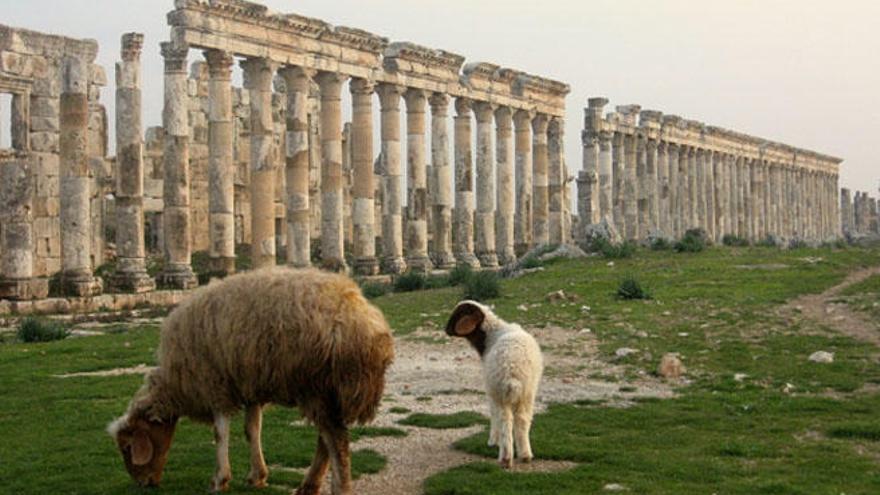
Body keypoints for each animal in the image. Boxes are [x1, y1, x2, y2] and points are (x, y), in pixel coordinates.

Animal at [109, 270, 396, 495]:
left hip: (318, 387)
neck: (176, 384)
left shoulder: (215, 384)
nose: (143, 484)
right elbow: (252, 430)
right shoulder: (249, 385)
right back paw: (309, 485)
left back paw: (337, 487)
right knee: (326, 439)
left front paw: (220, 479)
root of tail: (368, 327)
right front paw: (257, 475)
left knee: (336, 440)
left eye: (127, 447)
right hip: (330, 392)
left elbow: (220, 433)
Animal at [446, 300, 544, 466]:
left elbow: (492, 415)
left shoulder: (490, 392)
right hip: (527, 392)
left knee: (504, 420)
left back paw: (505, 457)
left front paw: (492, 442)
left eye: (459, 313)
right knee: (523, 419)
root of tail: (512, 372)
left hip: (498, 392)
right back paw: (525, 455)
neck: (490, 335)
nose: (446, 329)